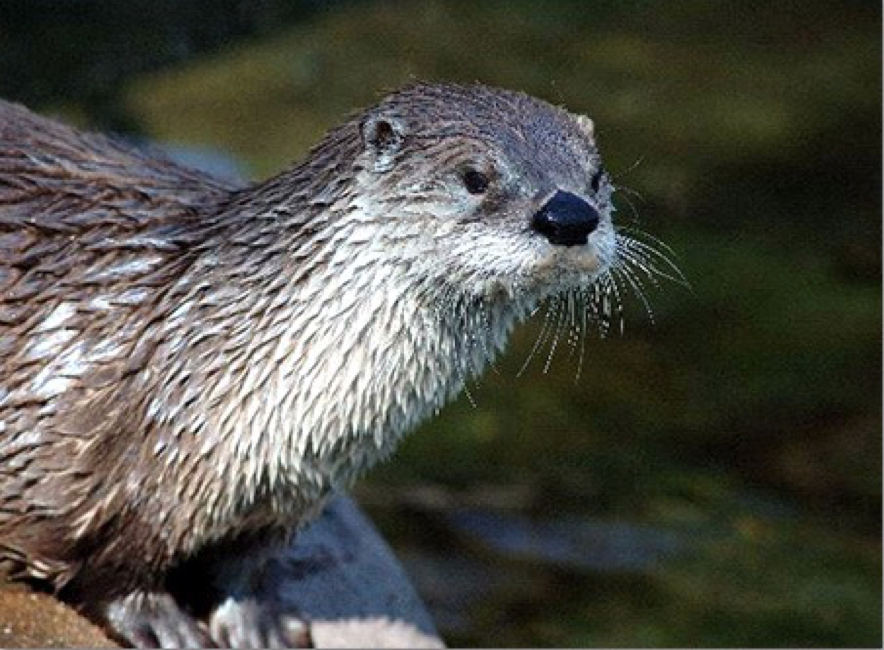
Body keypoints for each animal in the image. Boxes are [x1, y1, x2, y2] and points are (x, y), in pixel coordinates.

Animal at [1, 83, 620, 644]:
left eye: (595, 176)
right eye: (475, 177)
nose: (570, 216)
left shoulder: (287, 494)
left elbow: (242, 569)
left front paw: (258, 623)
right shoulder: (124, 472)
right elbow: (114, 571)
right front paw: (159, 621)